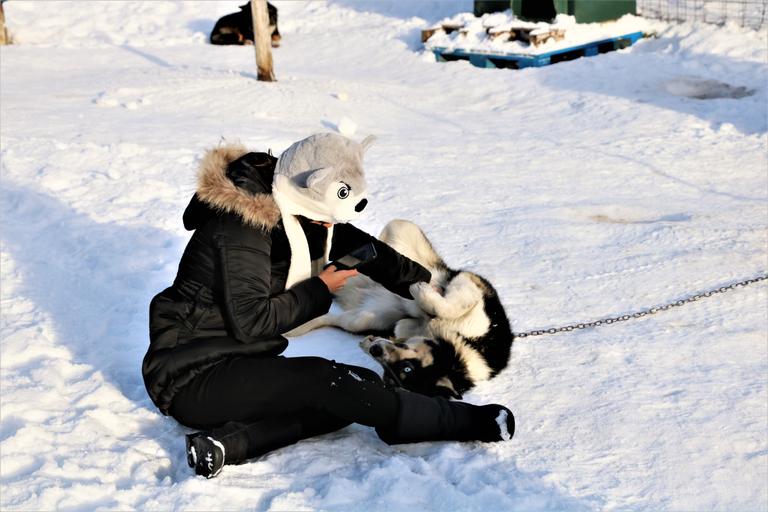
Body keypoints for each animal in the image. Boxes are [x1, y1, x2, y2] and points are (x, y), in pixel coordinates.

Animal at [292, 220, 512, 400]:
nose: (375, 349)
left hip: (365, 318)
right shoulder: (472, 287)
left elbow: (402, 325)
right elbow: (448, 306)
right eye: (406, 368)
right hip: (402, 229)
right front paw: (422, 292)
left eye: (398, 373)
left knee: (335, 317)